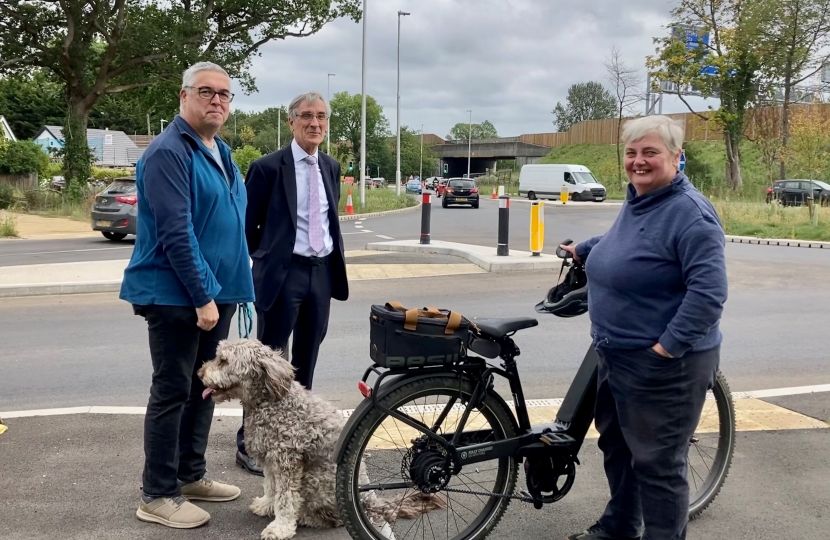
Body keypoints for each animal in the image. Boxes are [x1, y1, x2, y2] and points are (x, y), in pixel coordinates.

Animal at [197, 340, 442, 536]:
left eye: (223, 361)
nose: (199, 373)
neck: (271, 402)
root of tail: (372, 503)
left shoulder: (287, 461)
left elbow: (285, 498)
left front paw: (280, 528)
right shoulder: (270, 460)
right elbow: (271, 487)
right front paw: (266, 505)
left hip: (315, 480)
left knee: (333, 519)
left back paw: (307, 518)